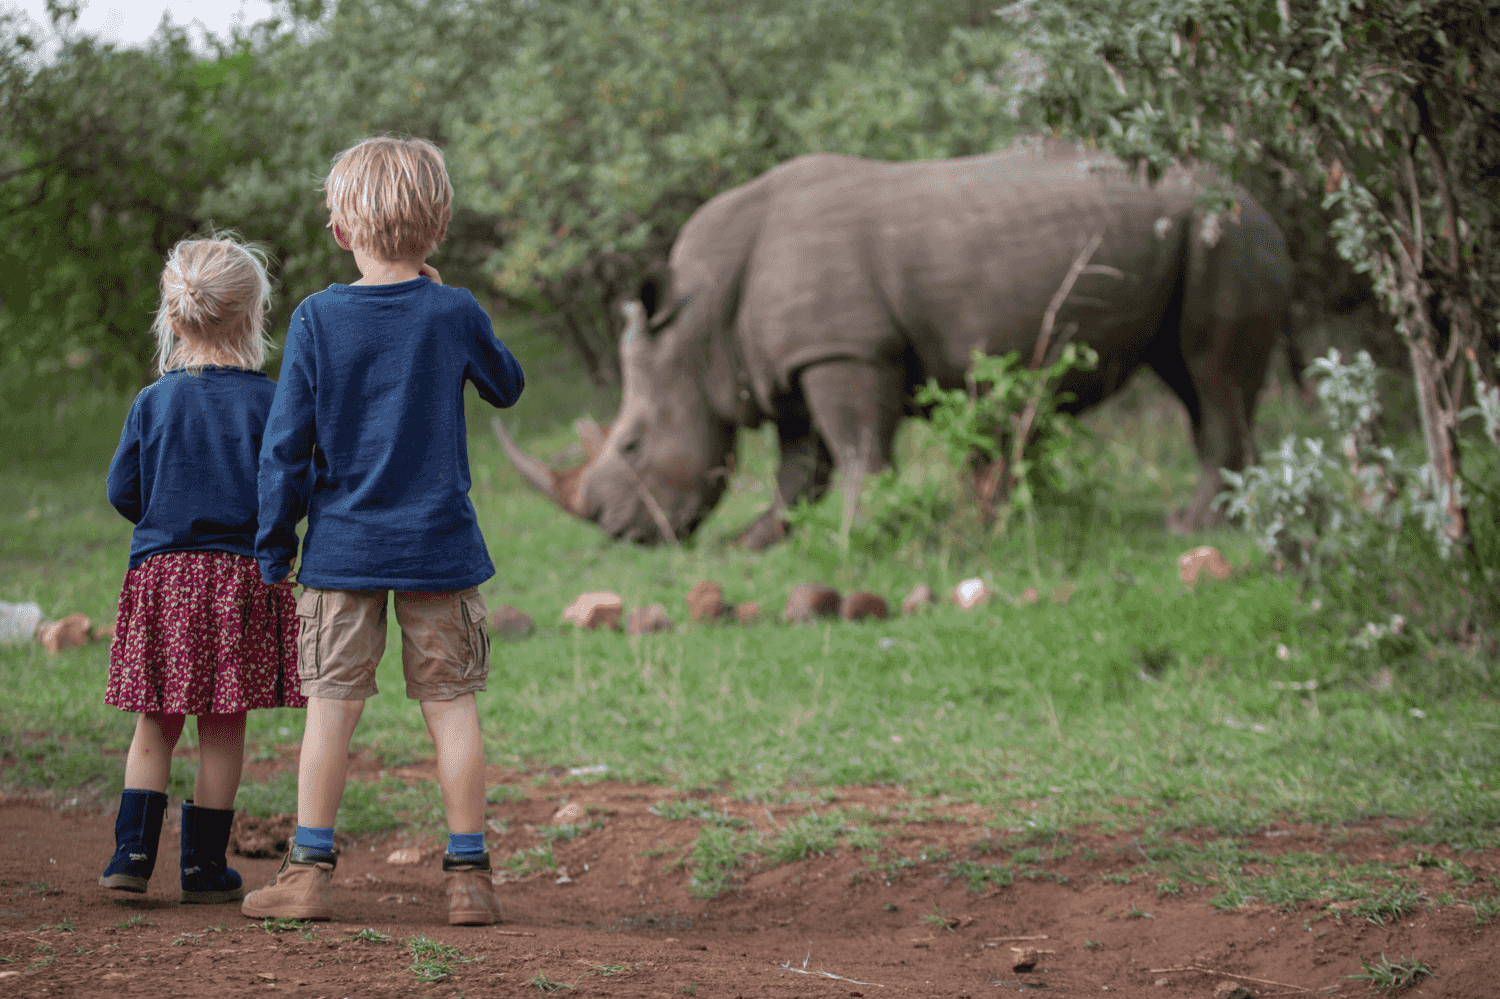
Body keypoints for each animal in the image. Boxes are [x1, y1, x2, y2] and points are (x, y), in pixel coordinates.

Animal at [496, 150, 1293, 548]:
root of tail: (1258, 194)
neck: (696, 322)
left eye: (631, 444)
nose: (619, 533)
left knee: (1210, 376)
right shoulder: (786, 363)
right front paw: (758, 543)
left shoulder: (845, 350)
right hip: (1206, 237)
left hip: (1226, 232)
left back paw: (1197, 527)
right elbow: (800, 467)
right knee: (1193, 380)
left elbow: (854, 450)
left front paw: (854, 539)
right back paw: (1236, 519)